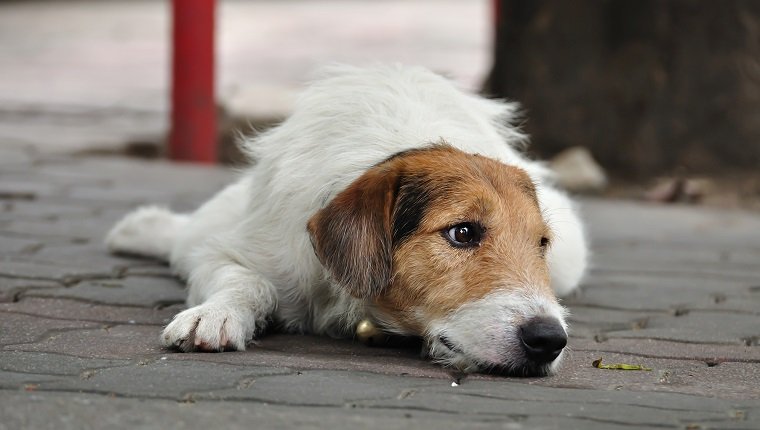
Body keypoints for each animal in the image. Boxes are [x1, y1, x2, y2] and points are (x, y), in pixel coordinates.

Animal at [105, 63, 588, 376]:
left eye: (541, 243)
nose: (549, 339)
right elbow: (245, 280)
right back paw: (137, 229)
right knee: (186, 236)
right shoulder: (241, 251)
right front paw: (216, 315)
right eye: (463, 232)